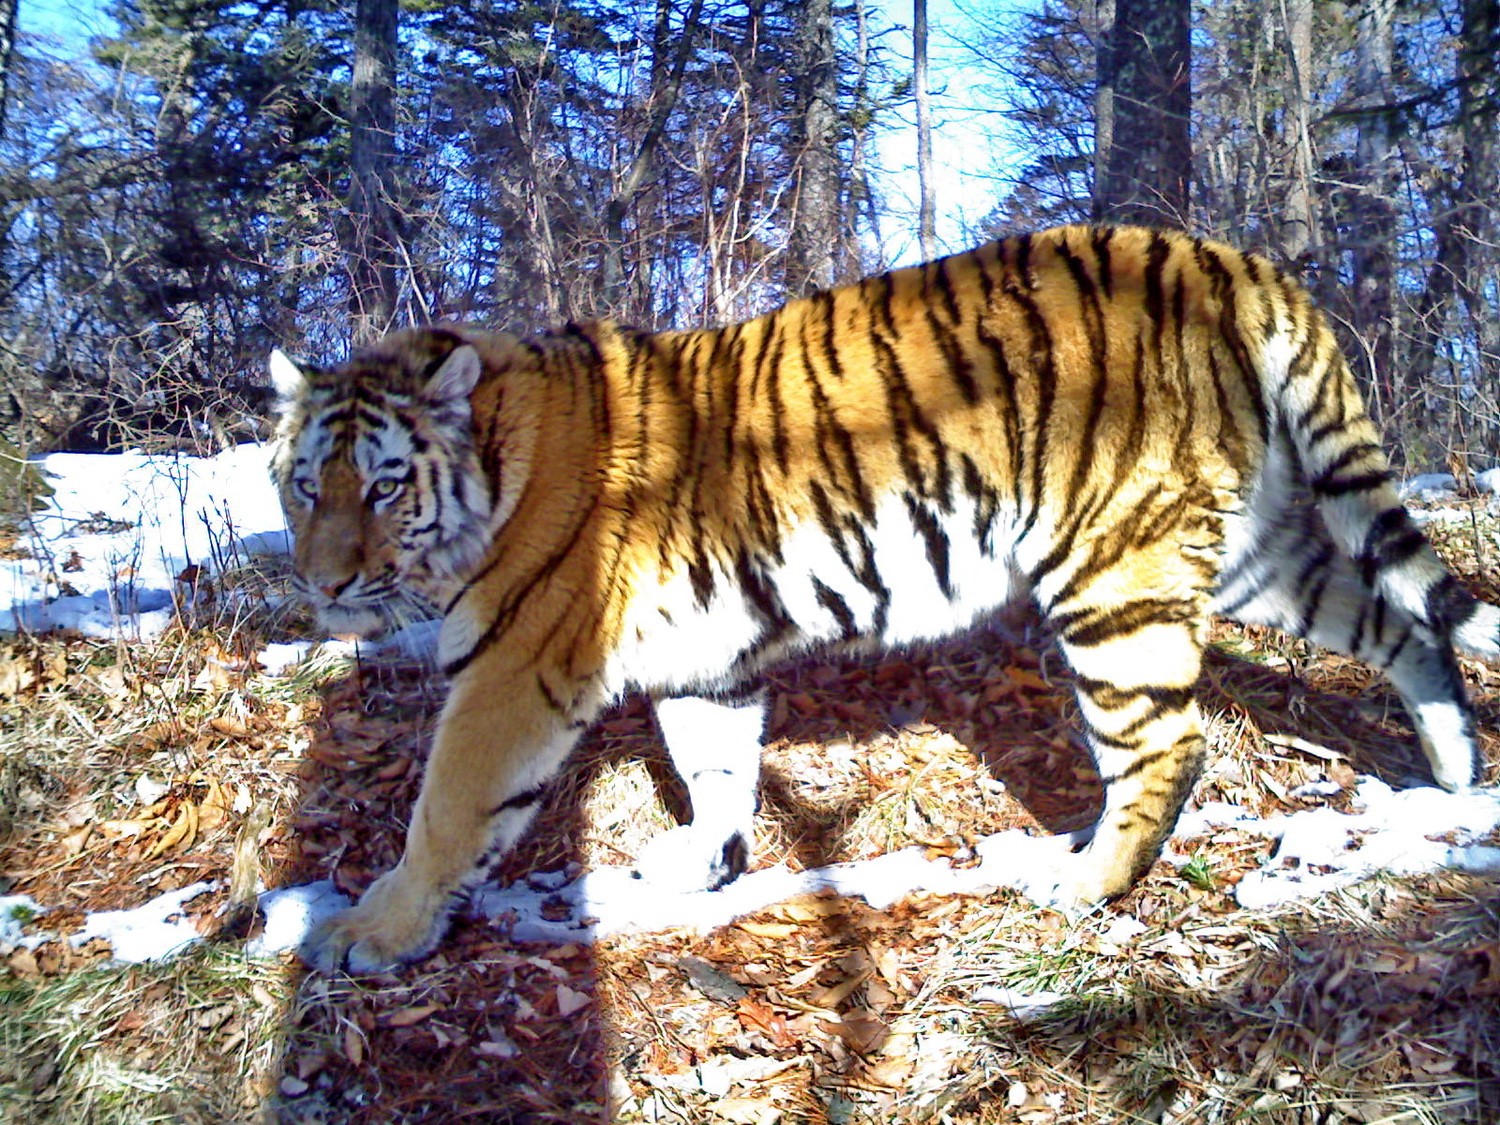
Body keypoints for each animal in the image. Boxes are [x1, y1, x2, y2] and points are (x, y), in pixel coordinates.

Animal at [270, 224, 1499, 973]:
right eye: (301, 483)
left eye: (382, 484)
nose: (321, 583)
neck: (497, 470)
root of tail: (1223, 258)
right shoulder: (703, 659)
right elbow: (715, 767)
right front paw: (703, 864)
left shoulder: (512, 671)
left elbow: (445, 809)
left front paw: (370, 932)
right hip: (1250, 547)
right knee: (1399, 622)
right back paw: (1451, 775)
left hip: (1112, 568)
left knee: (1167, 744)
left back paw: (1080, 884)